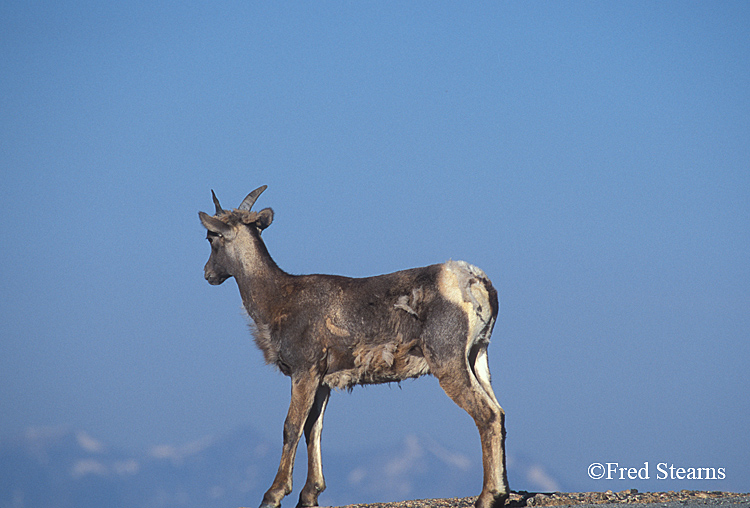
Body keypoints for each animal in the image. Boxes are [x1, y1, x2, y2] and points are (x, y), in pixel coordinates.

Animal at [198, 187, 512, 508]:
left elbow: (292, 427)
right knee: (499, 412)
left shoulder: (304, 371)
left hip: (448, 363)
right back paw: (499, 493)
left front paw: (272, 495)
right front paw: (309, 495)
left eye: (211, 237)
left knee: (486, 415)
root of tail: (475, 282)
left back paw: (488, 497)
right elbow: (313, 429)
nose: (208, 274)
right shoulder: (322, 382)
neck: (277, 299)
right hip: (477, 357)